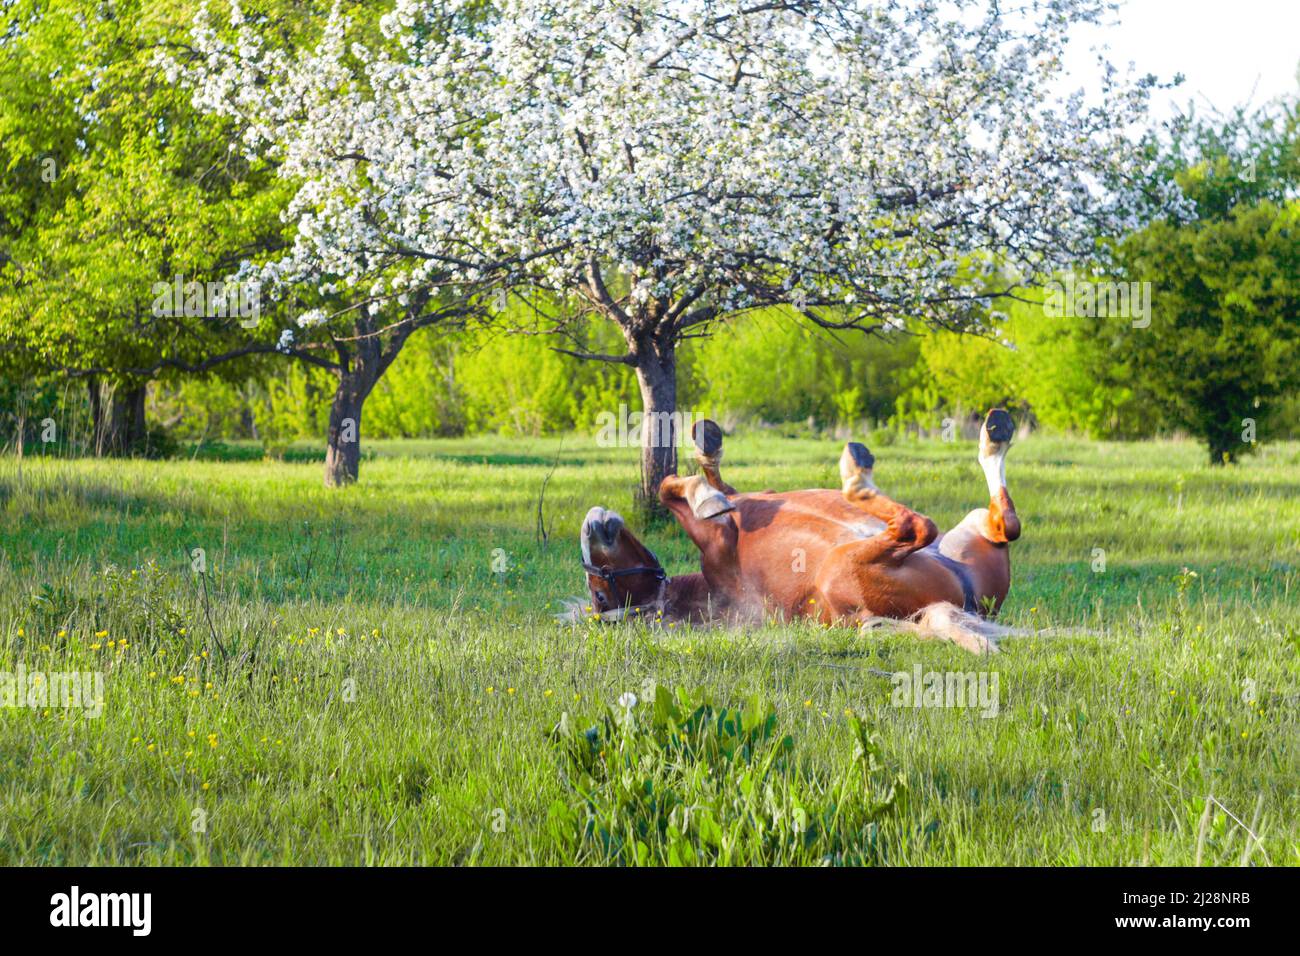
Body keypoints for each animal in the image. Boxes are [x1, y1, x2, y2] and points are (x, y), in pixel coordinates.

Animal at [577, 409, 1021, 654]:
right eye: (600, 597)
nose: (594, 520)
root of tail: (962, 604)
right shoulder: (716, 541)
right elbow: (672, 490)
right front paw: (704, 495)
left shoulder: (750, 501)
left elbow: (698, 482)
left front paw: (708, 446)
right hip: (846, 566)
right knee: (919, 527)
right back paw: (857, 474)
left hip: (968, 533)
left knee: (1005, 525)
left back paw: (995, 434)